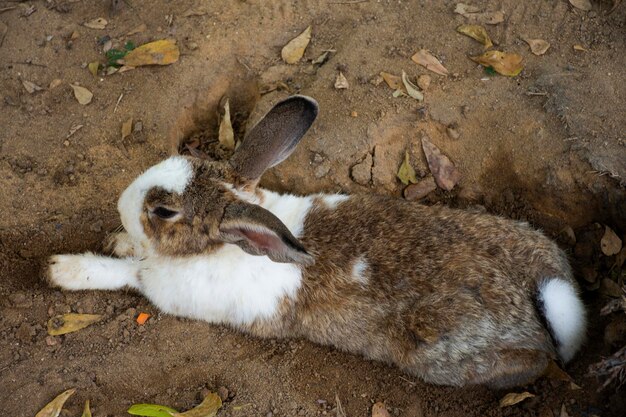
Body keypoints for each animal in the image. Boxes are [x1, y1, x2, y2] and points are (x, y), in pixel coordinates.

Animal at [45, 94, 584, 386]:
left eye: (163, 211)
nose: (122, 203)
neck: (227, 241)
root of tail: (540, 288)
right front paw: (118, 240)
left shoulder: (162, 288)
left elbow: (126, 274)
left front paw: (62, 269)